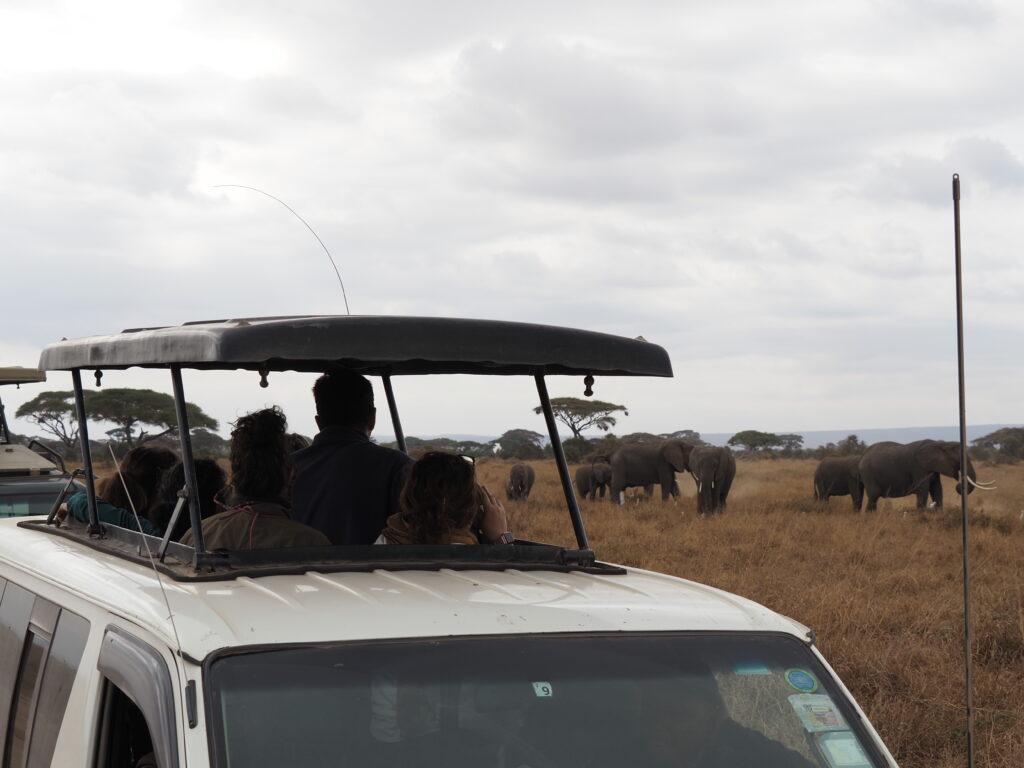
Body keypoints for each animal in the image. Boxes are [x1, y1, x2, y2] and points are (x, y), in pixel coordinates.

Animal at [856, 442, 991, 514]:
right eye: (958, 459)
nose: (959, 485)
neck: (941, 444)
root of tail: (861, 457)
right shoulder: (919, 468)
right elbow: (923, 490)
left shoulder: (934, 469)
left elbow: (937, 489)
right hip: (868, 473)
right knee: (874, 494)